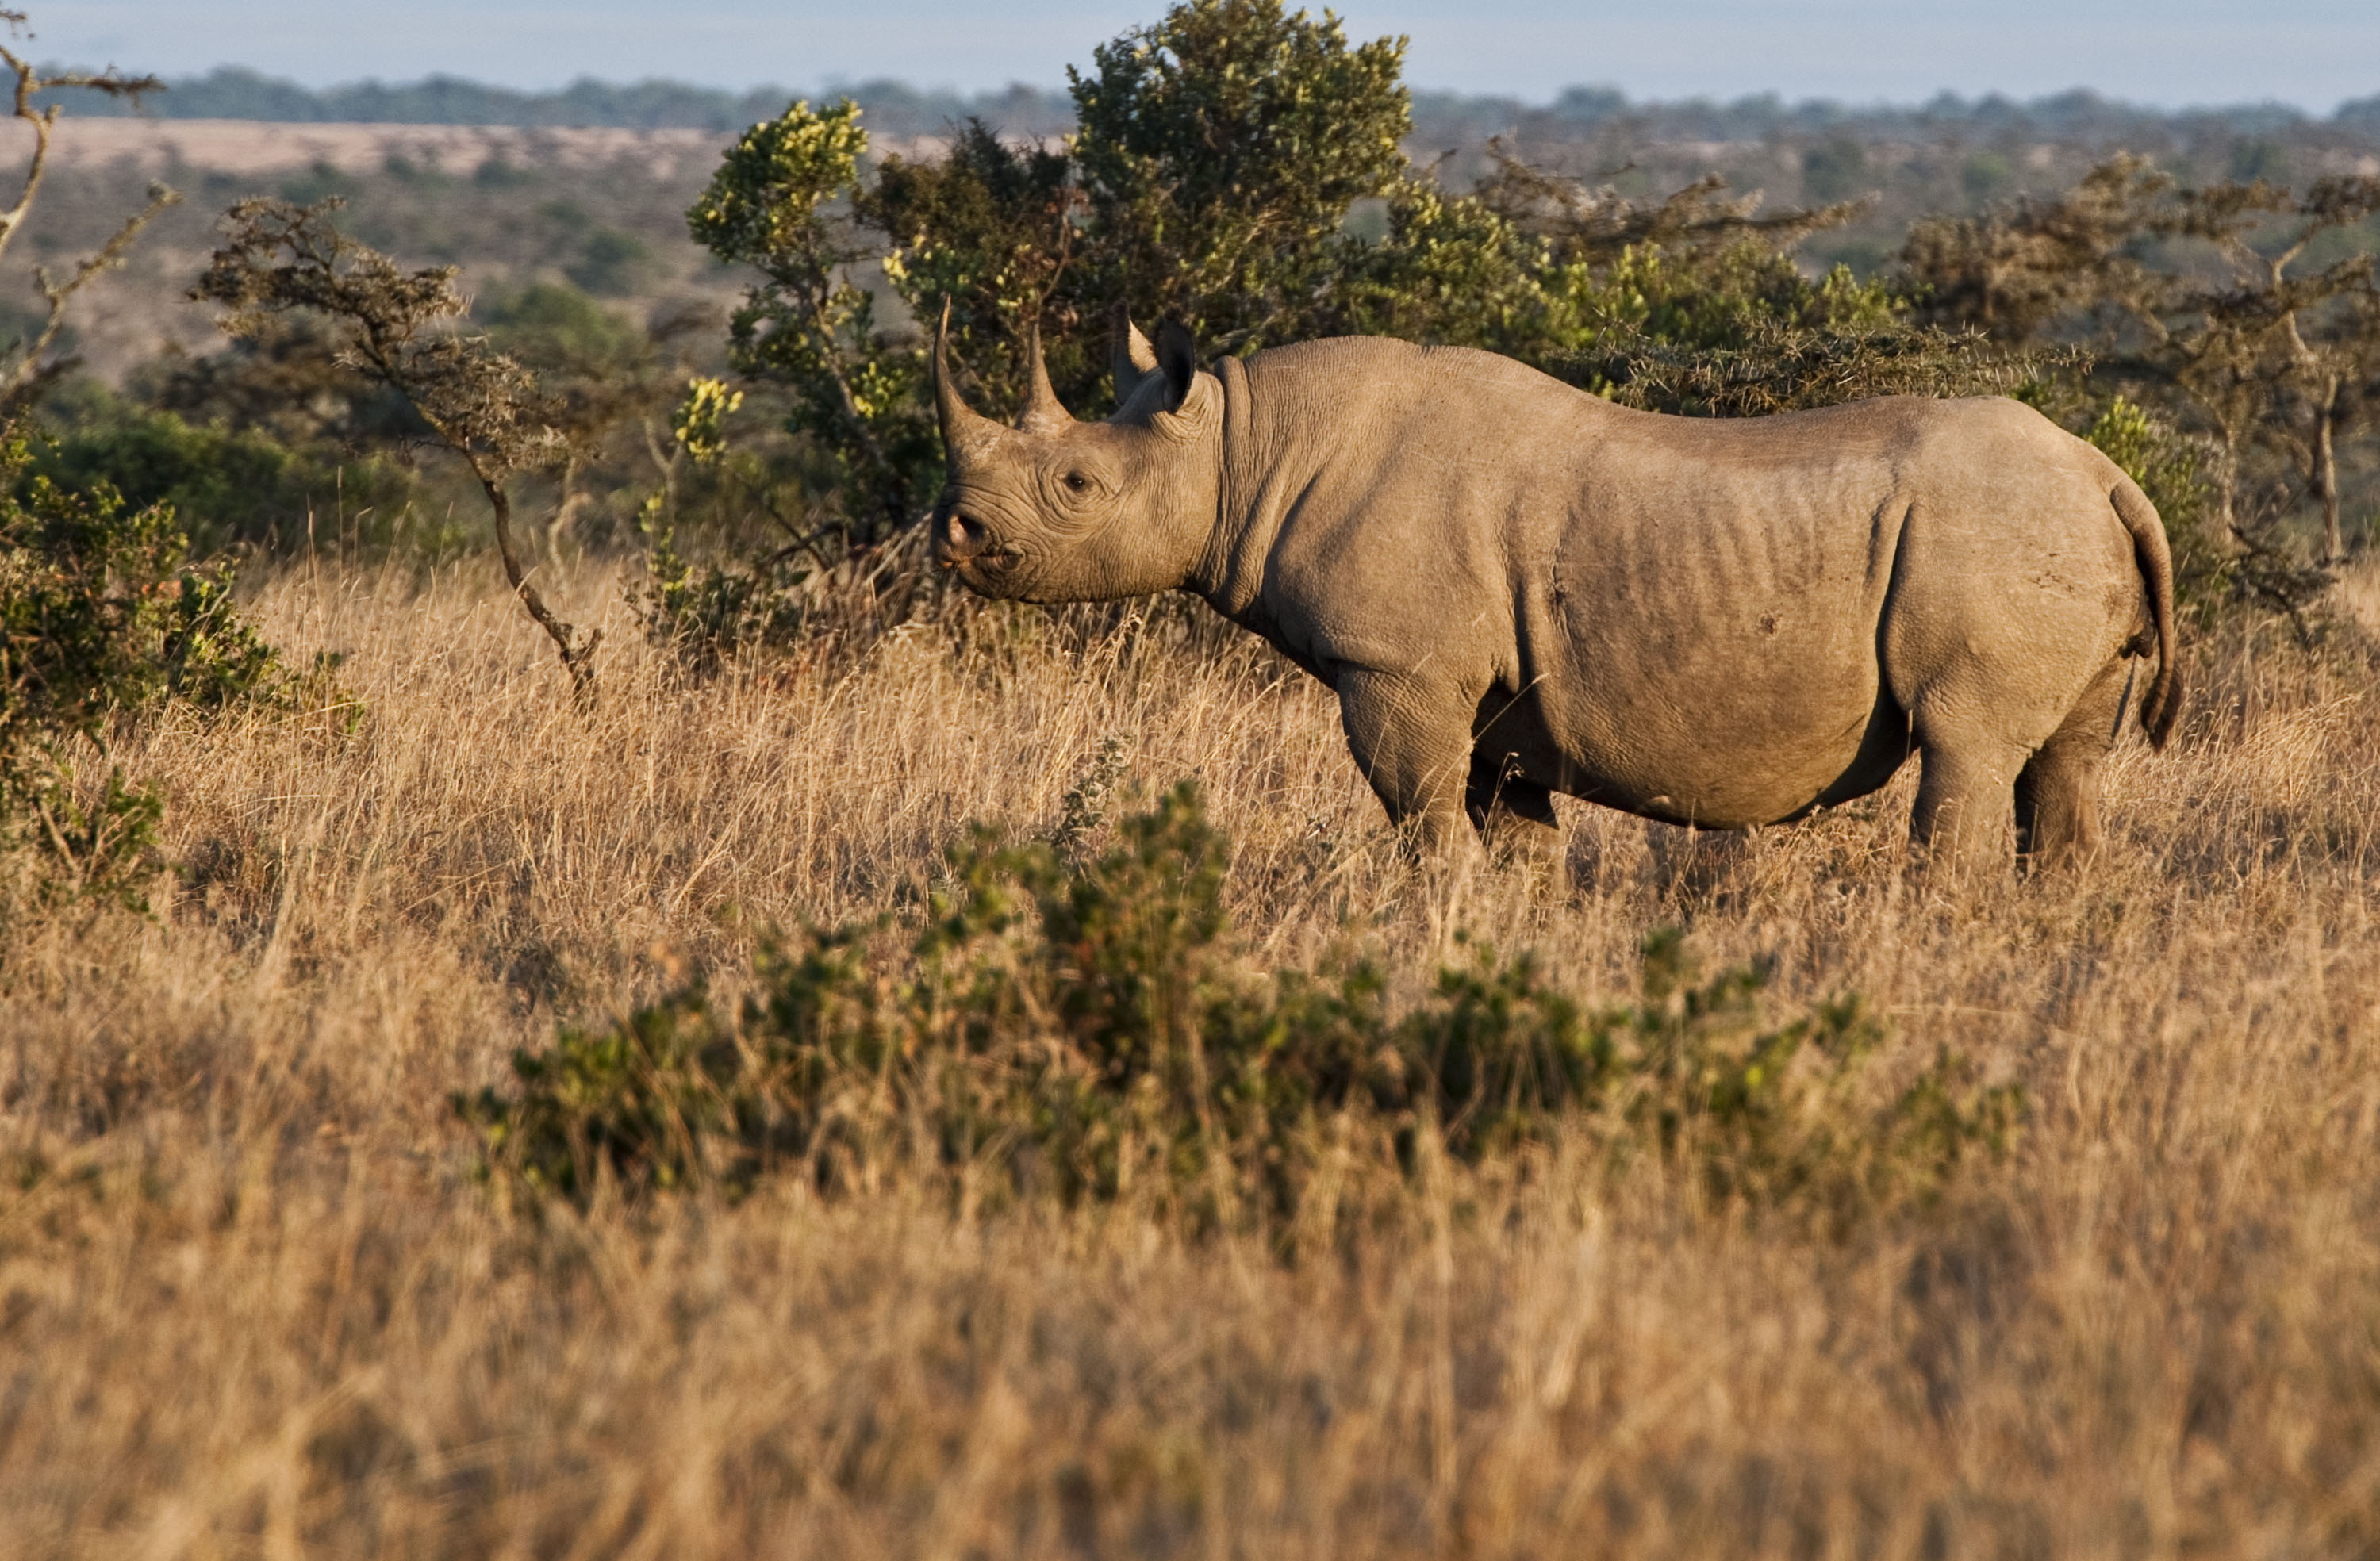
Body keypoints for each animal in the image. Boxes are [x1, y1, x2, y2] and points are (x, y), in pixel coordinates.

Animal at [929, 308, 2180, 873]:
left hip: (1994, 541)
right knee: (2061, 763)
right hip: (2055, 539)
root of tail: (2111, 477)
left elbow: (1424, 817)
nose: (959, 535)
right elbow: (1512, 834)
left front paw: (1435, 915)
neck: (1241, 445)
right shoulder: (1494, 696)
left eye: (1077, 484)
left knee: (1967, 745)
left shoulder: (1395, 666)